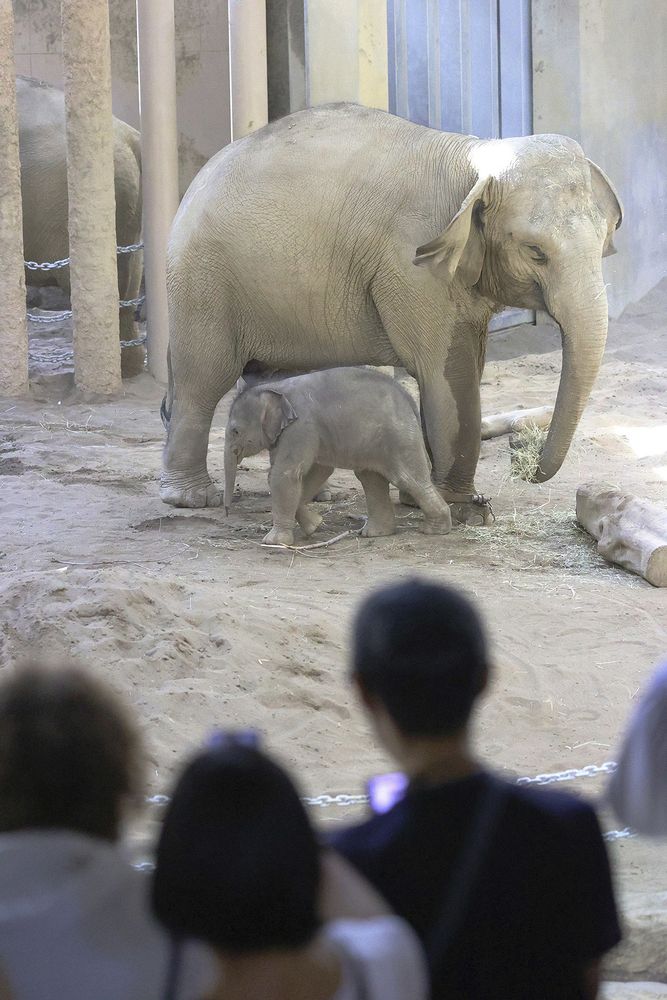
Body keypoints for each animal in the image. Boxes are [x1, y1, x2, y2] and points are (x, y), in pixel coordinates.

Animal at [160, 103, 620, 524]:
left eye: (605, 240)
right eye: (536, 252)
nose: (524, 464)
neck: (476, 156)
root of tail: (194, 185)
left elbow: (466, 365)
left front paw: (428, 499)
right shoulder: (411, 263)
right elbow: (448, 375)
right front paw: (462, 508)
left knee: (277, 378)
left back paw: (318, 493)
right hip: (204, 282)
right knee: (203, 379)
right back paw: (191, 498)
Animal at [226, 366, 454, 544]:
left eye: (235, 431)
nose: (227, 512)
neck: (275, 387)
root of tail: (409, 399)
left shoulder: (301, 427)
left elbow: (285, 474)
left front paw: (273, 542)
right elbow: (318, 470)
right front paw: (315, 525)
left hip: (399, 437)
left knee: (408, 478)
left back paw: (433, 530)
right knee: (371, 479)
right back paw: (375, 533)